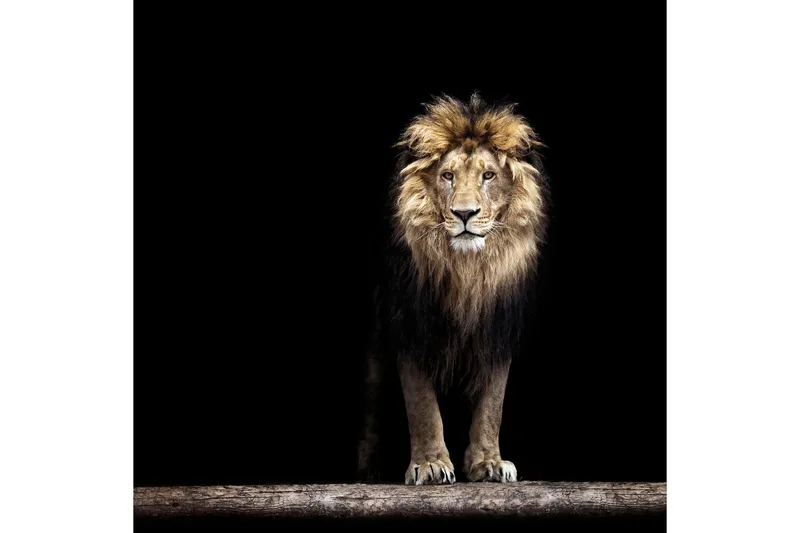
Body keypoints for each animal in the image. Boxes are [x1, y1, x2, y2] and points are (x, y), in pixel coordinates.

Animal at [357, 93, 548, 485]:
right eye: (447, 176)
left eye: (488, 175)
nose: (464, 214)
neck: (467, 271)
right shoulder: (411, 325)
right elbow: (422, 405)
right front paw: (430, 464)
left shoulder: (497, 329)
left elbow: (492, 404)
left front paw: (489, 463)